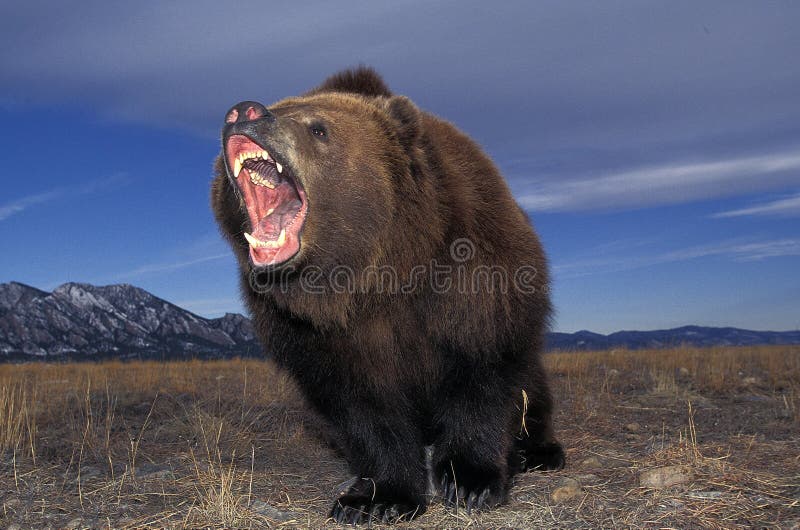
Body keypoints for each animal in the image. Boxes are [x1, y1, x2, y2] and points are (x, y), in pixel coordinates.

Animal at [209, 65, 564, 520]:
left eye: (318, 128)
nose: (244, 111)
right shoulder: (313, 336)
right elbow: (365, 410)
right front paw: (376, 498)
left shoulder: (471, 277)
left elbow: (482, 371)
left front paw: (472, 482)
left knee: (532, 391)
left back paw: (536, 451)